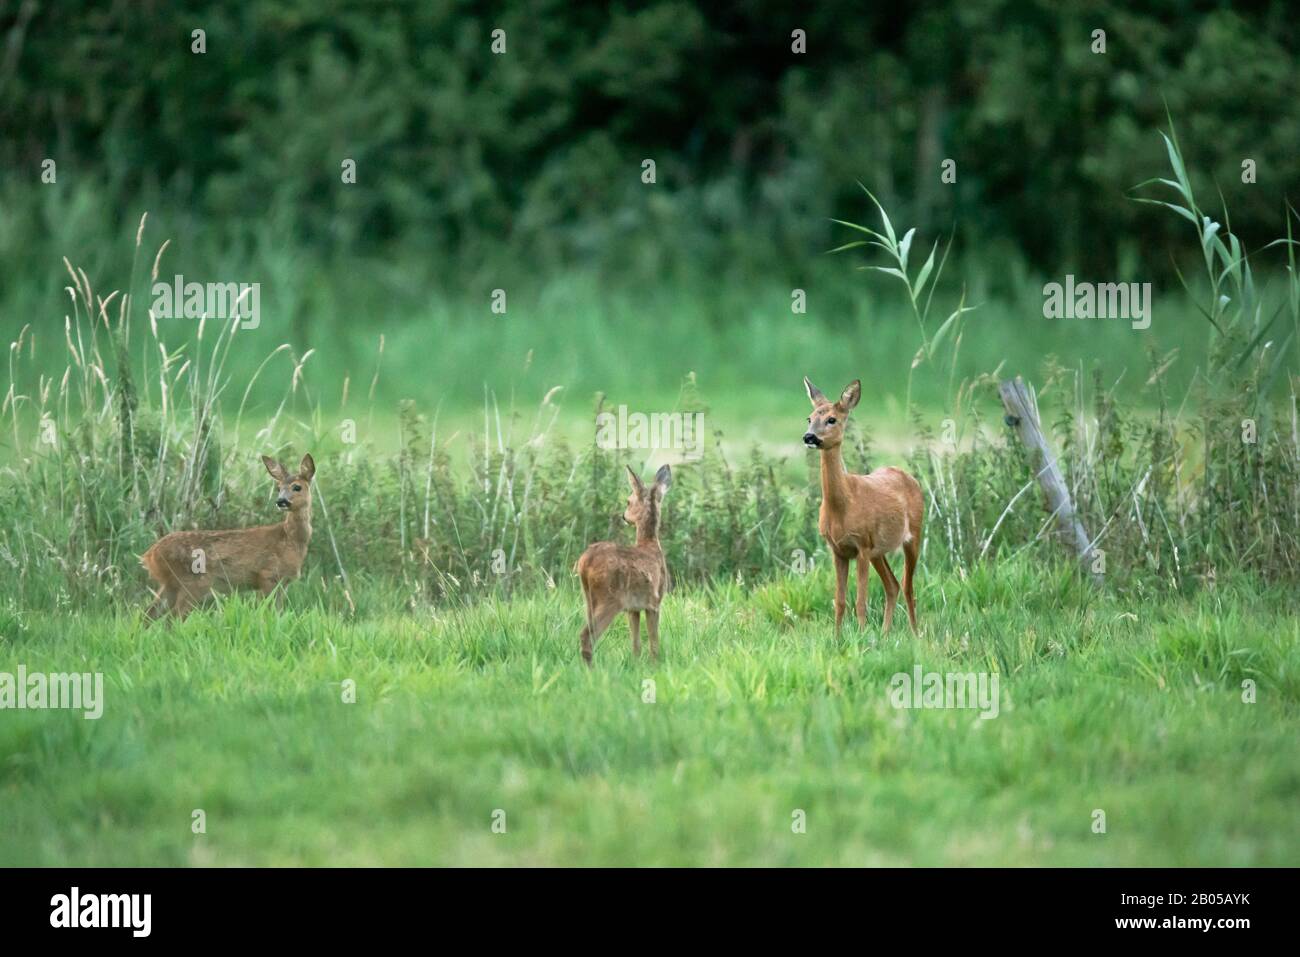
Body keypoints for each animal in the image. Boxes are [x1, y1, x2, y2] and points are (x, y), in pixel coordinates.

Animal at [141, 453, 316, 619]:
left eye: (297, 487)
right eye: (279, 488)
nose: (281, 501)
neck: (289, 540)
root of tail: (150, 555)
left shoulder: (282, 583)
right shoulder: (267, 574)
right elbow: (268, 613)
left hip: (171, 584)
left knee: (148, 614)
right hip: (192, 582)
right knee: (173, 617)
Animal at [575, 464, 673, 666]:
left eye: (628, 502)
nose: (624, 516)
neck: (650, 544)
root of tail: (585, 562)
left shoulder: (633, 608)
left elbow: (636, 642)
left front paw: (636, 663)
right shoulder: (654, 602)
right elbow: (653, 640)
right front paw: (655, 663)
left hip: (588, 598)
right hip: (610, 598)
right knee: (587, 636)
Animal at [802, 377, 923, 635]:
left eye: (831, 419)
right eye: (809, 418)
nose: (809, 437)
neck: (842, 507)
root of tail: (909, 476)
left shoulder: (862, 546)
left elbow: (860, 601)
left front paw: (861, 636)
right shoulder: (838, 550)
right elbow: (840, 601)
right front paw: (837, 637)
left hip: (913, 535)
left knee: (908, 586)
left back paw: (915, 634)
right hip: (879, 550)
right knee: (892, 585)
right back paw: (886, 634)